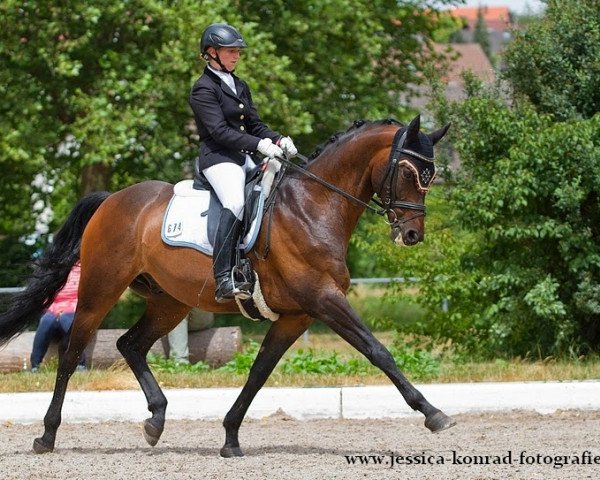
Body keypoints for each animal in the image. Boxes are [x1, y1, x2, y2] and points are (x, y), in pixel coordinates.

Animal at [0, 113, 452, 458]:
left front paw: (231, 437)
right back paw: (47, 436)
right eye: (410, 172)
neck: (313, 206)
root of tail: (112, 199)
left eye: (430, 176)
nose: (412, 235)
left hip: (170, 302)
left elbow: (258, 372)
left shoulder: (296, 315)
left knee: (130, 344)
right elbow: (378, 351)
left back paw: (156, 420)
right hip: (100, 289)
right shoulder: (324, 300)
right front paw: (433, 414)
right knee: (71, 352)